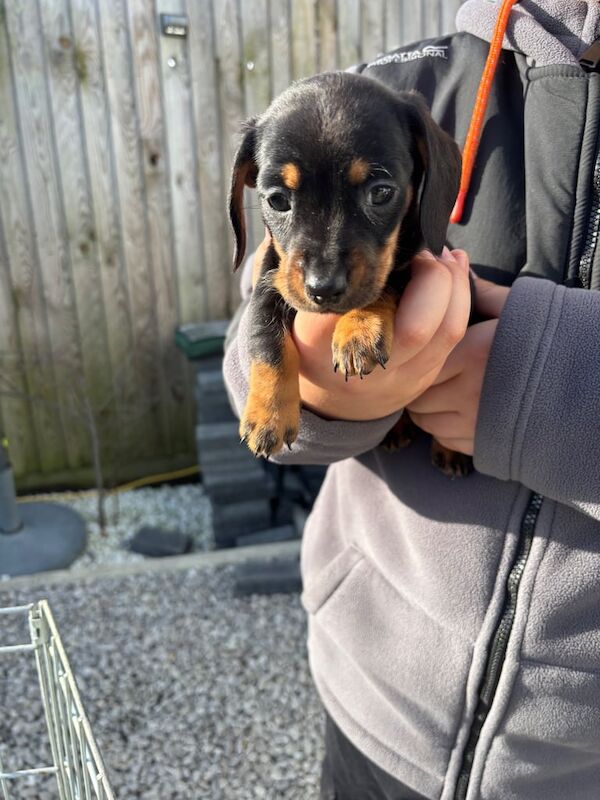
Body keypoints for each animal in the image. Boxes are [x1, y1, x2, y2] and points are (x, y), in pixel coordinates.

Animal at [230, 70, 468, 476]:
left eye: (381, 192)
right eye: (277, 200)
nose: (323, 288)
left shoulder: (406, 262)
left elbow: (383, 285)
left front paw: (359, 329)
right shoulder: (270, 280)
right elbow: (265, 339)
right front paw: (268, 415)